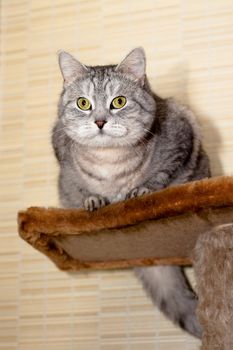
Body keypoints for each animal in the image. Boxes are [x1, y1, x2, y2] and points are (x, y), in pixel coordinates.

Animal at [52, 47, 210, 338]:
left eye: (119, 101)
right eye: (83, 103)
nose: (100, 121)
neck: (110, 162)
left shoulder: (181, 137)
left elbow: (160, 174)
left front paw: (141, 189)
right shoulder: (61, 154)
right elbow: (81, 187)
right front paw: (92, 198)